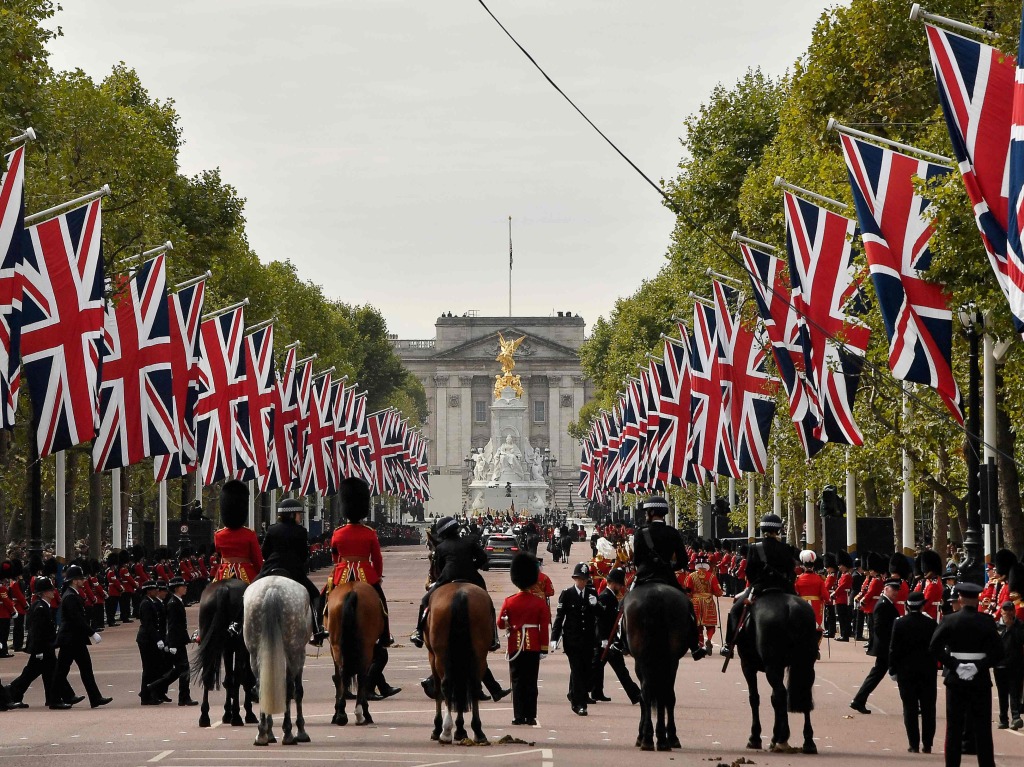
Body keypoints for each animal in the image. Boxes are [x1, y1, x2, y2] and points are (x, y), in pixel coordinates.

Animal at [192, 581, 258, 725]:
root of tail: (223, 588)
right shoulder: (242, 649)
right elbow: (245, 678)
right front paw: (247, 713)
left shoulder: (226, 648)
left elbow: (228, 679)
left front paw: (227, 713)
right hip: (239, 646)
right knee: (238, 677)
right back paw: (237, 717)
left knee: (207, 675)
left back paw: (204, 717)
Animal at [243, 577, 311, 745]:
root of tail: (272, 589)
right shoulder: (301, 655)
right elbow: (298, 692)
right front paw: (301, 731)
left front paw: (269, 733)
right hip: (293, 653)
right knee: (289, 688)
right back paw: (288, 734)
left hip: (255, 654)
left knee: (262, 686)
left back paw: (261, 735)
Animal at [618, 581, 700, 749]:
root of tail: (655, 596)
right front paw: (669, 736)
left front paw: (643, 734)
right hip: (669, 660)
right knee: (664, 692)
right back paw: (661, 738)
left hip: (646, 660)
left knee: (649, 692)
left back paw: (650, 738)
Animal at [733, 589, 819, 749]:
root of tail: (792, 609)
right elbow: (773, 700)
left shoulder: (747, 665)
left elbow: (754, 698)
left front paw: (755, 737)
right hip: (807, 666)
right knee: (804, 695)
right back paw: (808, 742)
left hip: (771, 666)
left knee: (781, 694)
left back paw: (782, 738)